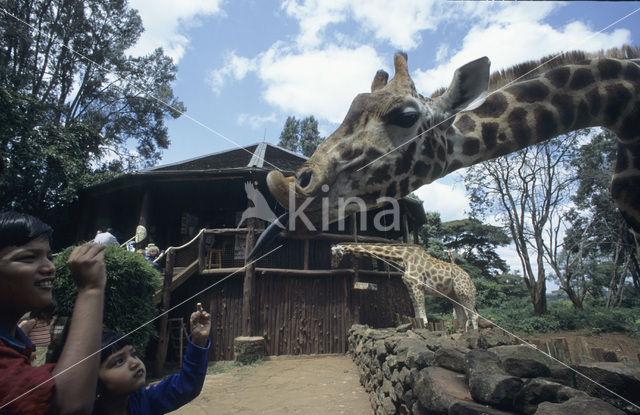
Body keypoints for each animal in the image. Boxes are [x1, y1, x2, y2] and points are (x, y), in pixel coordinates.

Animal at [332, 242, 478, 330]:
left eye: (333, 253)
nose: (333, 266)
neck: (402, 258)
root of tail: (471, 282)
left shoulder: (418, 285)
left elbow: (422, 314)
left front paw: (425, 326)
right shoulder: (410, 286)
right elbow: (417, 312)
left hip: (463, 292)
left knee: (473, 315)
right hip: (453, 295)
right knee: (463, 316)